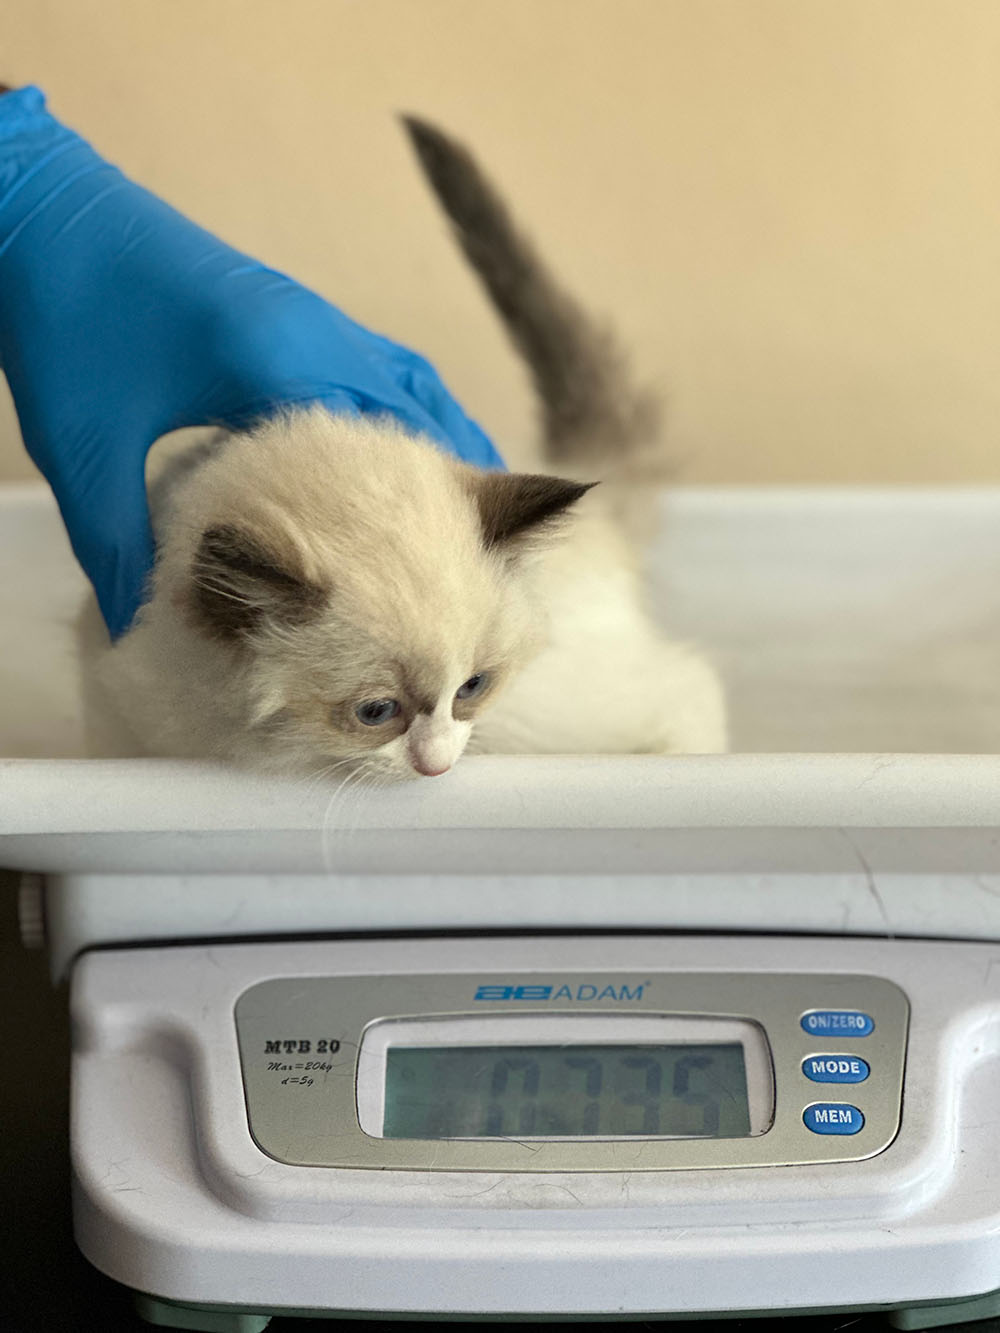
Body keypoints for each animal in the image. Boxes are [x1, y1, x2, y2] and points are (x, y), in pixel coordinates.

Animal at [76, 121, 720, 778]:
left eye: (472, 687)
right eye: (376, 712)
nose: (437, 766)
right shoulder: (122, 712)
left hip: (557, 713)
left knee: (689, 680)